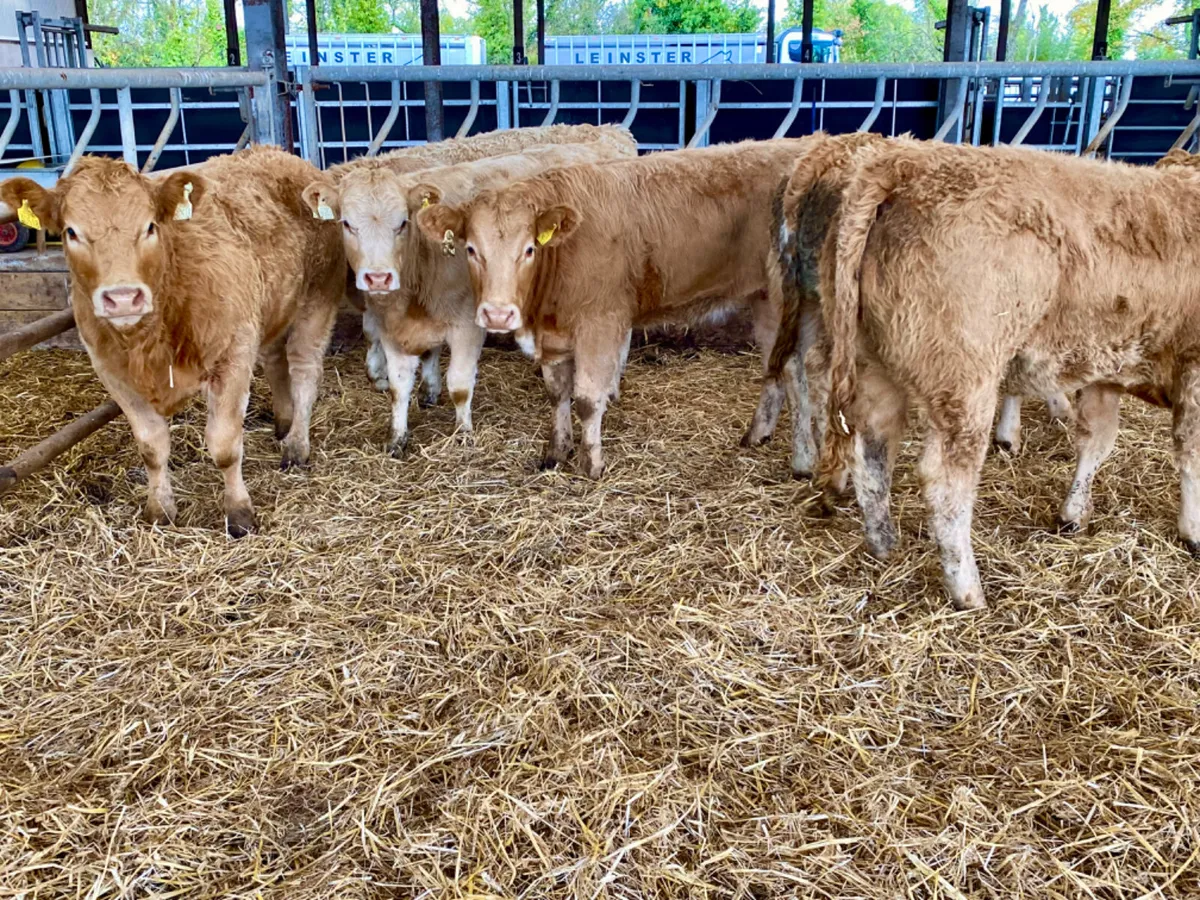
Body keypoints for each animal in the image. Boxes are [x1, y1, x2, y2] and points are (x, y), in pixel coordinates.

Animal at [0, 148, 348, 535]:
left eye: (150, 226)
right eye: (71, 232)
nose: (123, 298)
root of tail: (278, 153)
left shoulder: (233, 358)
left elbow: (225, 445)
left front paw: (239, 513)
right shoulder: (114, 375)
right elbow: (152, 448)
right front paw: (159, 510)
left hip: (317, 300)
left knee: (304, 371)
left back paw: (297, 444)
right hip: (272, 309)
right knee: (275, 361)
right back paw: (283, 422)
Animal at [302, 133, 638, 458]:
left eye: (403, 223)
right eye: (347, 223)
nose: (378, 277)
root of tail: (609, 133)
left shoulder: (467, 324)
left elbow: (460, 384)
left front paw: (463, 434)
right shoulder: (391, 328)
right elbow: (400, 386)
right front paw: (397, 437)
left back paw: (611, 385)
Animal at [415, 139, 816, 480]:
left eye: (529, 249)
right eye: (471, 249)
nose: (497, 315)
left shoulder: (599, 324)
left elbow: (587, 399)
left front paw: (591, 464)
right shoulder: (555, 336)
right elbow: (557, 394)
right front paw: (556, 452)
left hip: (784, 300)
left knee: (796, 374)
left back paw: (802, 462)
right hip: (764, 299)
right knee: (776, 366)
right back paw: (758, 434)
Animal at [820, 137, 1200, 609]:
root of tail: (904, 163)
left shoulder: (1105, 368)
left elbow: (1097, 440)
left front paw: (1073, 514)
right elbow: (1191, 451)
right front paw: (1193, 530)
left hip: (872, 364)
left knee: (871, 454)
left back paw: (884, 545)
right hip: (966, 382)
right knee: (946, 483)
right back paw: (968, 592)